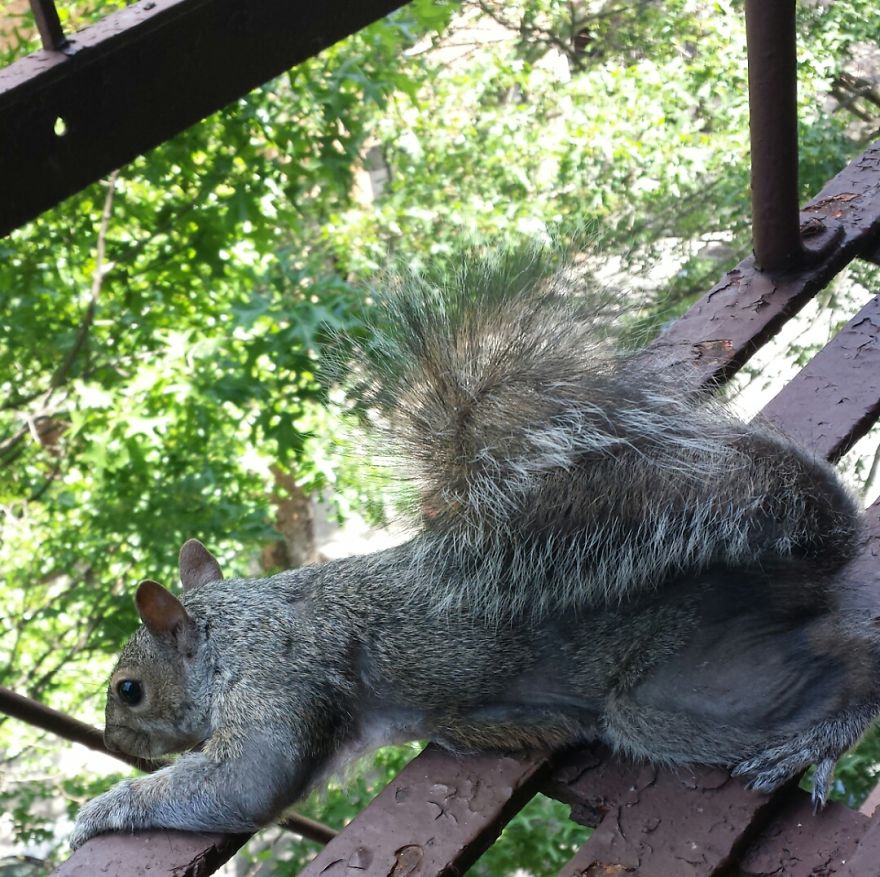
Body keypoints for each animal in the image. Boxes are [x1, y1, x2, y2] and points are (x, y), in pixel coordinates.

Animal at [72, 248, 879, 849]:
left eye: (128, 689)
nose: (115, 741)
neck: (238, 629)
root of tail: (802, 565)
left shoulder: (278, 687)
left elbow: (241, 786)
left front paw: (99, 810)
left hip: (684, 690)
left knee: (854, 669)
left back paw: (821, 736)